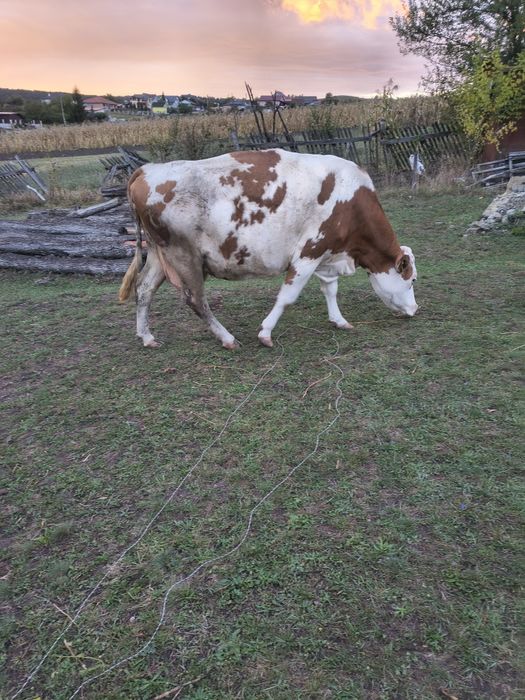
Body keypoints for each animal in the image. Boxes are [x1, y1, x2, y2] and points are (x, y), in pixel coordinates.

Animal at [119, 149, 418, 349]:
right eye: (412, 279)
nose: (415, 309)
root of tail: (147, 170)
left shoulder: (327, 253)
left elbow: (330, 289)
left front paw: (339, 320)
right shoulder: (309, 251)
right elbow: (287, 296)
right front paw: (265, 333)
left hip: (159, 253)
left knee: (144, 288)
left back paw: (147, 336)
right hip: (184, 255)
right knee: (195, 299)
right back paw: (227, 338)